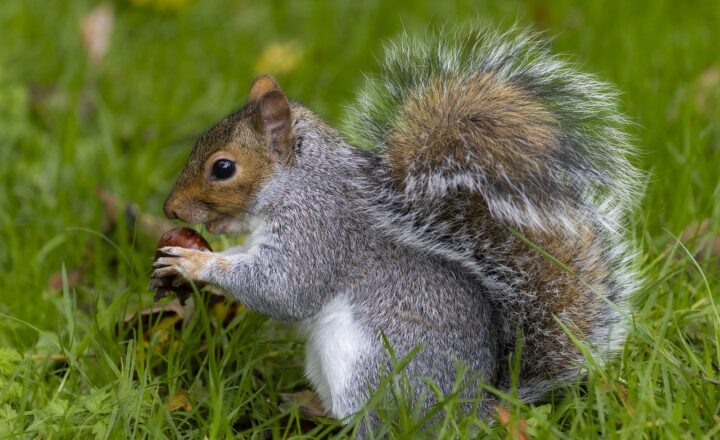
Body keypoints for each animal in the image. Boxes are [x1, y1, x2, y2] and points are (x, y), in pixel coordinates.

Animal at [151, 26, 641, 423]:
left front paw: (193, 263)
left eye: (223, 168)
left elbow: (284, 289)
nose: (171, 209)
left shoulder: (319, 229)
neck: (298, 180)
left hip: (371, 368)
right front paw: (183, 259)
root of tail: (473, 409)